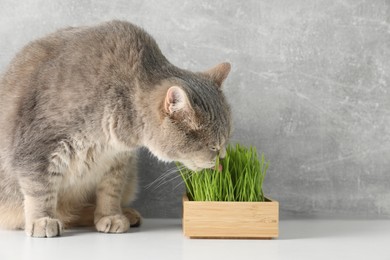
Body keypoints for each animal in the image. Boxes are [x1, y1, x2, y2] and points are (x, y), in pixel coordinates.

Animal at [0, 20, 232, 238]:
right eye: (213, 146)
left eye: (224, 142)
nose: (222, 158)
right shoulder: (38, 148)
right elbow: (40, 190)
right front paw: (42, 220)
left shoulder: (119, 160)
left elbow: (110, 192)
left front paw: (110, 216)